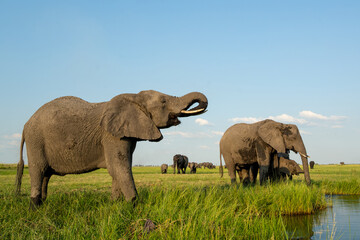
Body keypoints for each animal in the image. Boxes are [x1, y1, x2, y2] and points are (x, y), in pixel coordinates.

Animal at [15, 90, 208, 206]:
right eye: (163, 101)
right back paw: (34, 207)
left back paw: (43, 204)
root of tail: (26, 124)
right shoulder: (111, 136)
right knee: (38, 170)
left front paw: (115, 205)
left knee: (46, 175)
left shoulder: (125, 134)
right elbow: (119, 167)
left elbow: (120, 168)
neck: (134, 97)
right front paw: (134, 206)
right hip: (35, 140)